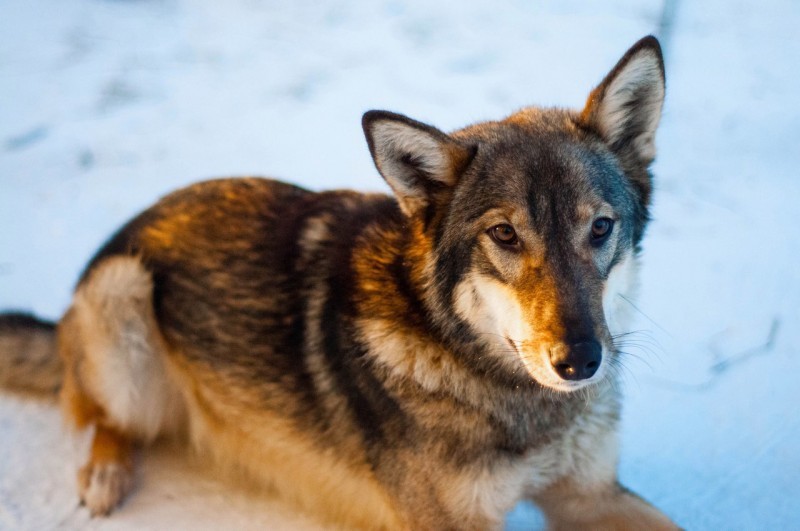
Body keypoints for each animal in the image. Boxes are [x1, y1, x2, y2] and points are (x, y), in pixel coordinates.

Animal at [0, 35, 680, 528]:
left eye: (599, 228)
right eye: (506, 236)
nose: (581, 361)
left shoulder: (592, 493)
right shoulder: (451, 522)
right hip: (123, 296)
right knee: (105, 421)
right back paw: (104, 476)